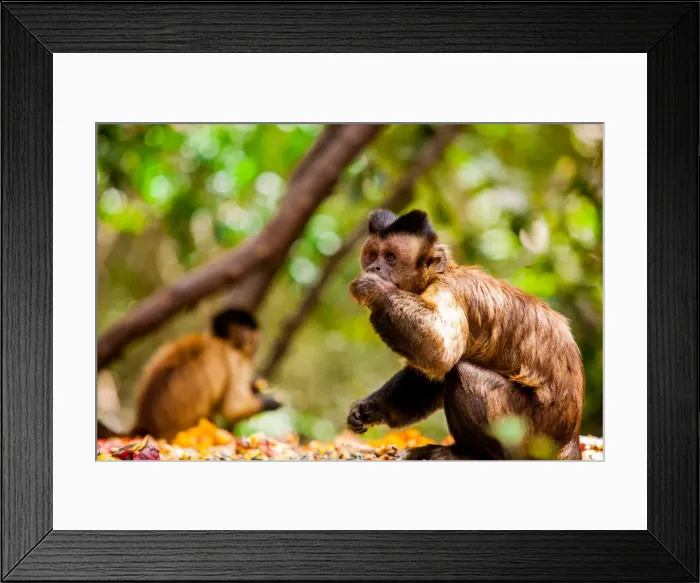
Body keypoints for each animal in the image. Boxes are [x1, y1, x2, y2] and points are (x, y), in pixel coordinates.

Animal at [98, 309, 282, 441]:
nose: (255, 339)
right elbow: (232, 408)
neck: (221, 341)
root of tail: (144, 425)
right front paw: (272, 402)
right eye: (251, 333)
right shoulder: (236, 358)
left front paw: (256, 385)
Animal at [346, 209, 584, 460]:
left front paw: (375, 291)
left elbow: (440, 352)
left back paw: (474, 454)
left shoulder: (450, 290)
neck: (436, 276)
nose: (374, 268)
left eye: (390, 257)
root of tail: (570, 440)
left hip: (533, 438)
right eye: (373, 256)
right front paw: (369, 409)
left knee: (462, 371)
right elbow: (430, 372)